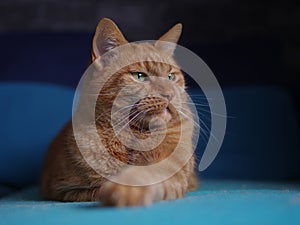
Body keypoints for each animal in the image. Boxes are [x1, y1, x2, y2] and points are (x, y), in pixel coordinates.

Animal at [40, 18, 199, 207]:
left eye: (170, 77)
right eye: (139, 76)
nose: (170, 94)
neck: (132, 137)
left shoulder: (174, 170)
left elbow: (150, 174)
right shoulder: (63, 190)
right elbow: (95, 189)